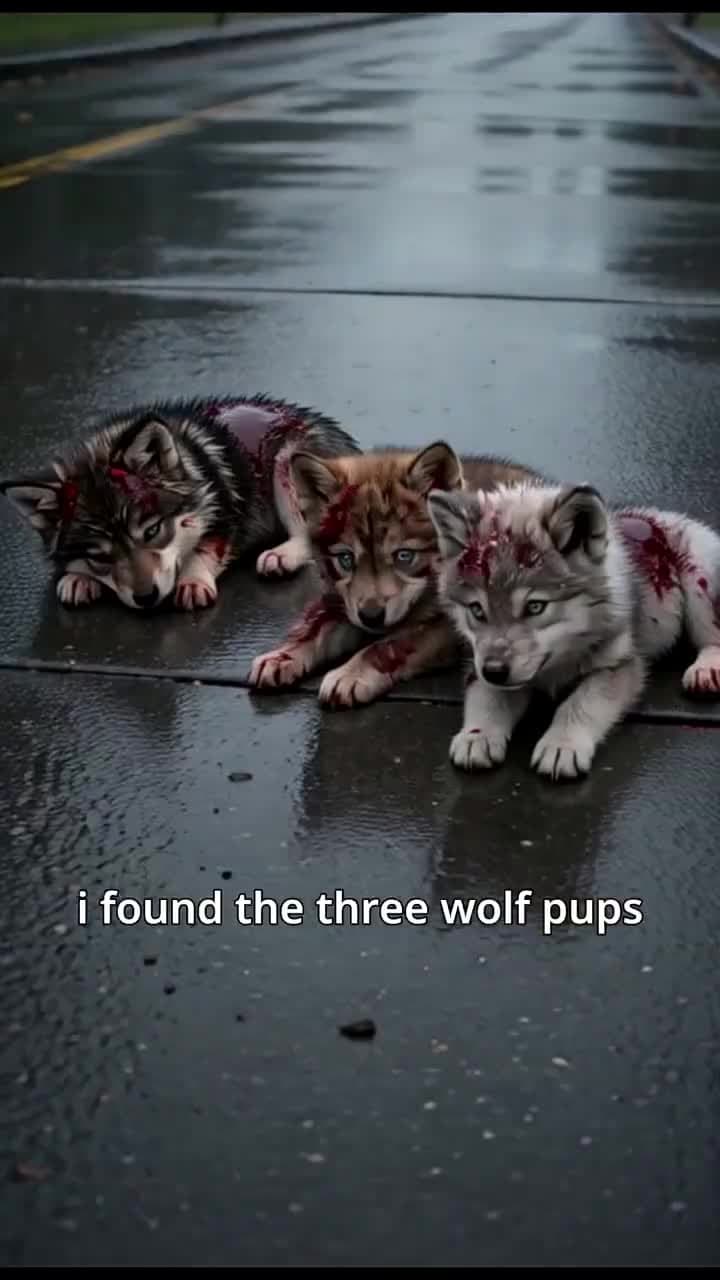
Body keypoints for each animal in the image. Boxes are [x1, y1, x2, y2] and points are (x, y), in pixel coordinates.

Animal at [0, 395, 359, 611]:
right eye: (99, 556)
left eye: (152, 531)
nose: (147, 598)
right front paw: (78, 577)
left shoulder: (225, 511)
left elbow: (205, 548)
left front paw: (193, 578)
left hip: (287, 459)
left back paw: (282, 555)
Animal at [247, 441, 540, 707]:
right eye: (345, 559)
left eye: (404, 556)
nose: (371, 616)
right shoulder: (342, 601)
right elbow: (314, 625)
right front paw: (283, 655)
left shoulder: (445, 627)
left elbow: (388, 645)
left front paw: (350, 672)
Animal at [427, 479, 720, 781]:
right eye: (477, 610)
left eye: (535, 606)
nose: (495, 671)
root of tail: (664, 515)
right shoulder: (481, 663)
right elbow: (487, 696)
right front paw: (477, 734)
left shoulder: (619, 665)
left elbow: (580, 703)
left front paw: (562, 744)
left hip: (699, 581)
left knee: (713, 634)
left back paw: (706, 668)